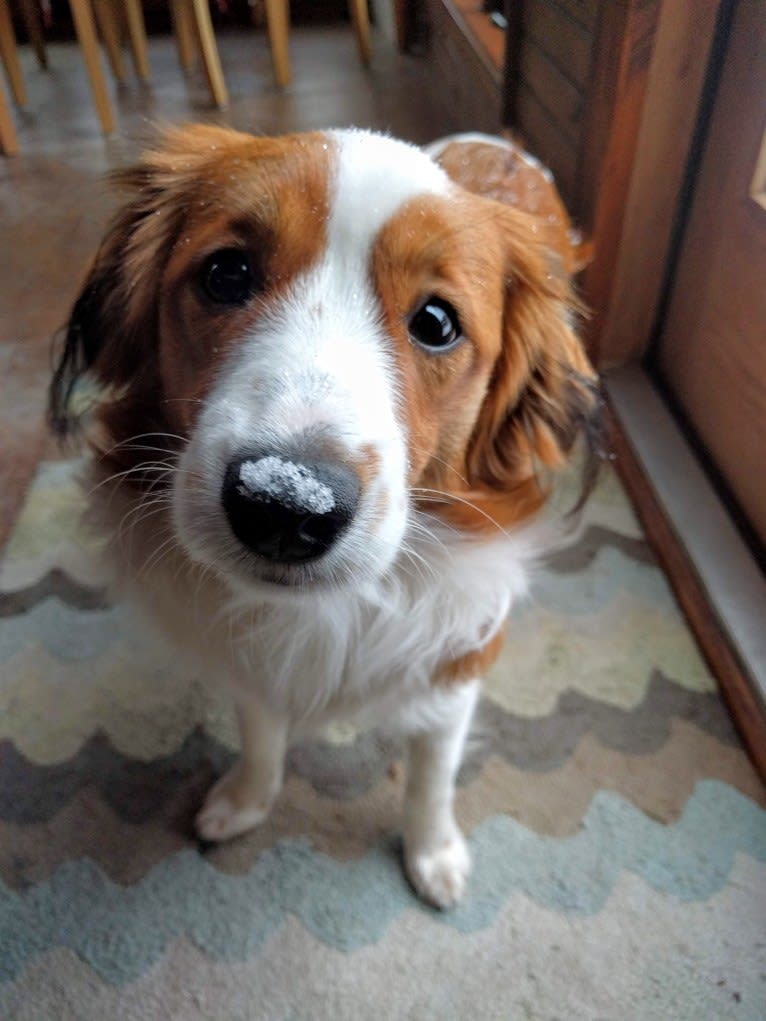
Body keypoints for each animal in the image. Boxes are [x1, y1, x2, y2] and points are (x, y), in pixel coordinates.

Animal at [49, 125, 600, 910]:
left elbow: (433, 775)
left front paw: (433, 852)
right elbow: (261, 731)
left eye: (436, 323)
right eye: (226, 273)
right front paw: (248, 799)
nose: (285, 504)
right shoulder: (248, 662)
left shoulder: (459, 659)